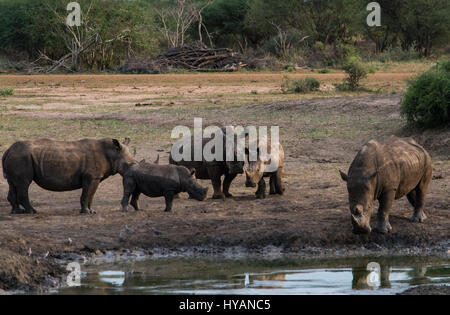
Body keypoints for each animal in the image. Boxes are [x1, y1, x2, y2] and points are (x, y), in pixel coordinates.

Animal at [1, 138, 135, 215]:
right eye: (127, 165)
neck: (112, 153)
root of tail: (8, 150)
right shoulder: (92, 177)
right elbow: (87, 194)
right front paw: (86, 212)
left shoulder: (94, 178)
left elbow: (91, 195)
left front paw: (92, 211)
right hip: (21, 158)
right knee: (24, 184)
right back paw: (32, 212)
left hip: (18, 157)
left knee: (13, 184)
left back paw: (17, 212)